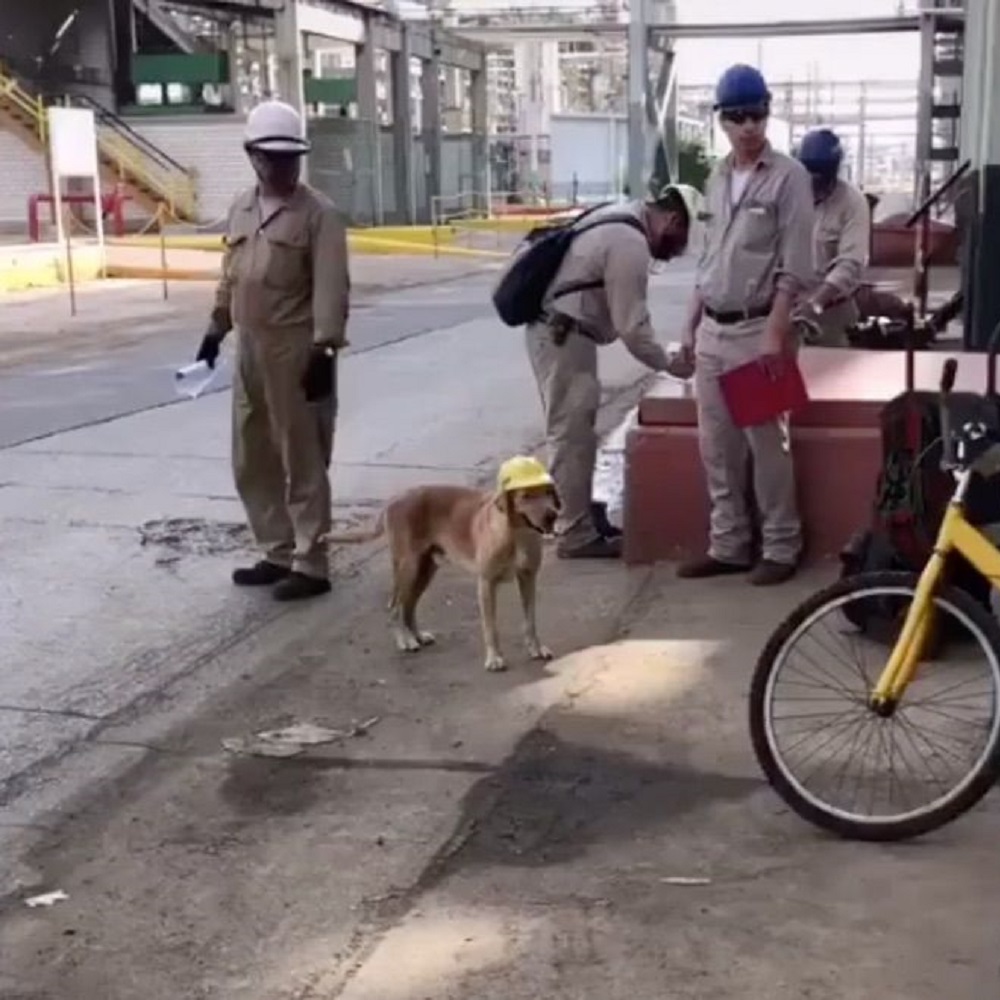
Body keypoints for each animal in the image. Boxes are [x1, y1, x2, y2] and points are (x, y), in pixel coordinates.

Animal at [328, 458, 564, 668]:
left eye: (547, 492)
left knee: (409, 606)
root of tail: (394, 499)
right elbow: (490, 627)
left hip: (425, 570)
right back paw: (404, 640)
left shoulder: (528, 578)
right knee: (394, 606)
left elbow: (530, 620)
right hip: (408, 567)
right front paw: (494, 658)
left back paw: (417, 636)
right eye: (526, 496)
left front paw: (536, 648)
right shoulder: (486, 583)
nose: (551, 516)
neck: (516, 533)